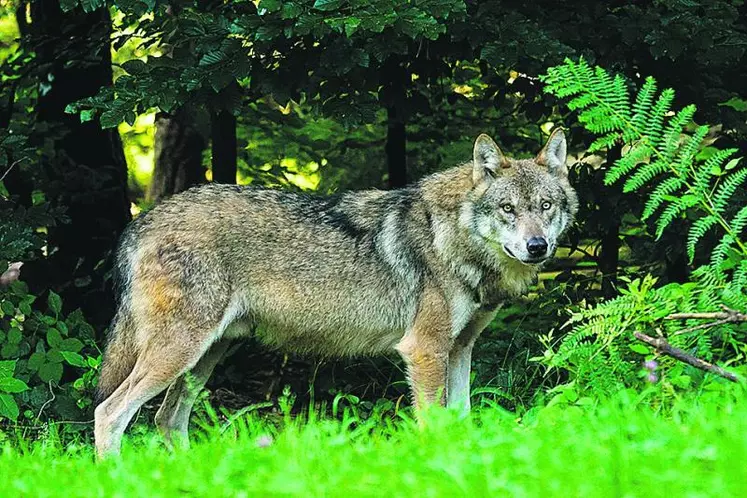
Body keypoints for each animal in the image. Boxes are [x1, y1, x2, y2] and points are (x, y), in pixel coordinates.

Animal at [93, 127, 580, 456]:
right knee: (109, 413)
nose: (538, 246)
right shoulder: (424, 350)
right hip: (179, 353)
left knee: (167, 419)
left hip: (204, 357)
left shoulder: (460, 349)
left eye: (546, 206)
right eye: (507, 209)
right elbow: (434, 423)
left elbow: (459, 420)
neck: (452, 237)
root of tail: (141, 222)